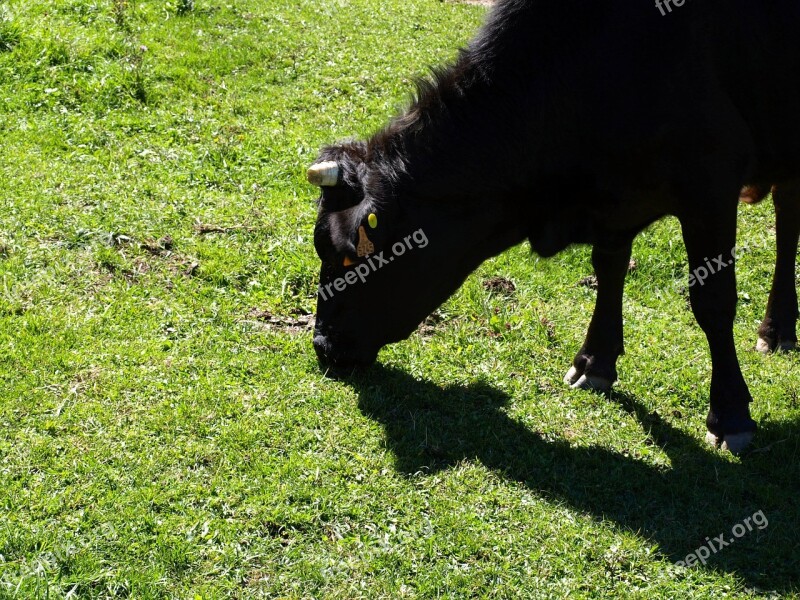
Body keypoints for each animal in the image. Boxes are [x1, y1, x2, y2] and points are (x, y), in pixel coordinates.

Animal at [306, 0, 800, 450]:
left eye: (349, 257)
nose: (323, 345)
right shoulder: (614, 200)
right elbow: (609, 270)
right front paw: (595, 361)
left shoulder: (710, 184)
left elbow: (713, 302)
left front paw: (730, 414)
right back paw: (779, 329)